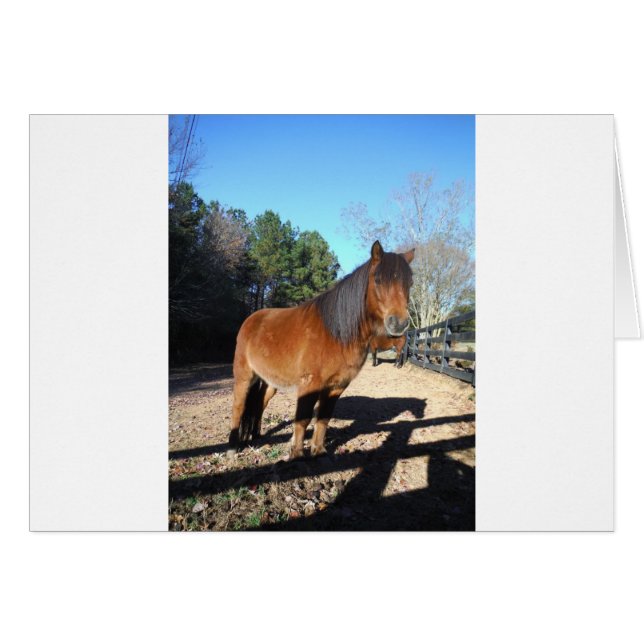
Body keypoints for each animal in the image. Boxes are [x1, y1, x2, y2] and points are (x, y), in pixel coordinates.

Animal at [227, 240, 415, 460]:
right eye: (377, 280)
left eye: (410, 283)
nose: (399, 323)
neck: (336, 333)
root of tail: (251, 320)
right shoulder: (310, 384)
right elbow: (303, 419)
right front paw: (297, 454)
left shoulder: (336, 386)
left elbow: (323, 418)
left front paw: (318, 451)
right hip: (244, 377)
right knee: (238, 407)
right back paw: (232, 448)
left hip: (270, 381)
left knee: (260, 404)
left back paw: (256, 435)